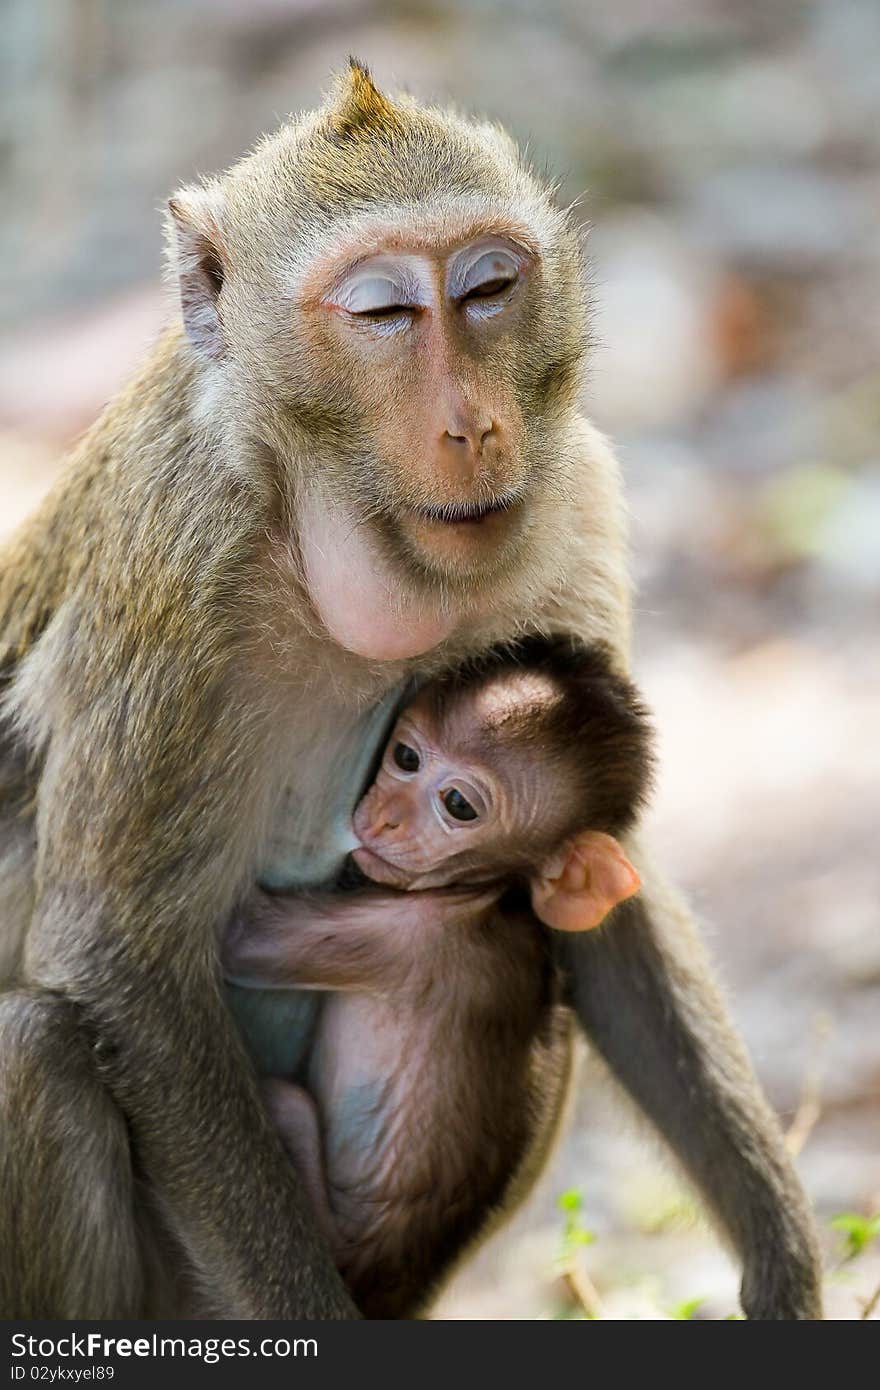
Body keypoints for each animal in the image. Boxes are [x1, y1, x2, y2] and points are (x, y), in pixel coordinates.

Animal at [225, 636, 653, 1312]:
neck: (484, 894)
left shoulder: (404, 936)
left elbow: (241, 935)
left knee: (285, 1100)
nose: (385, 818)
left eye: (458, 805)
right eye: (405, 757)